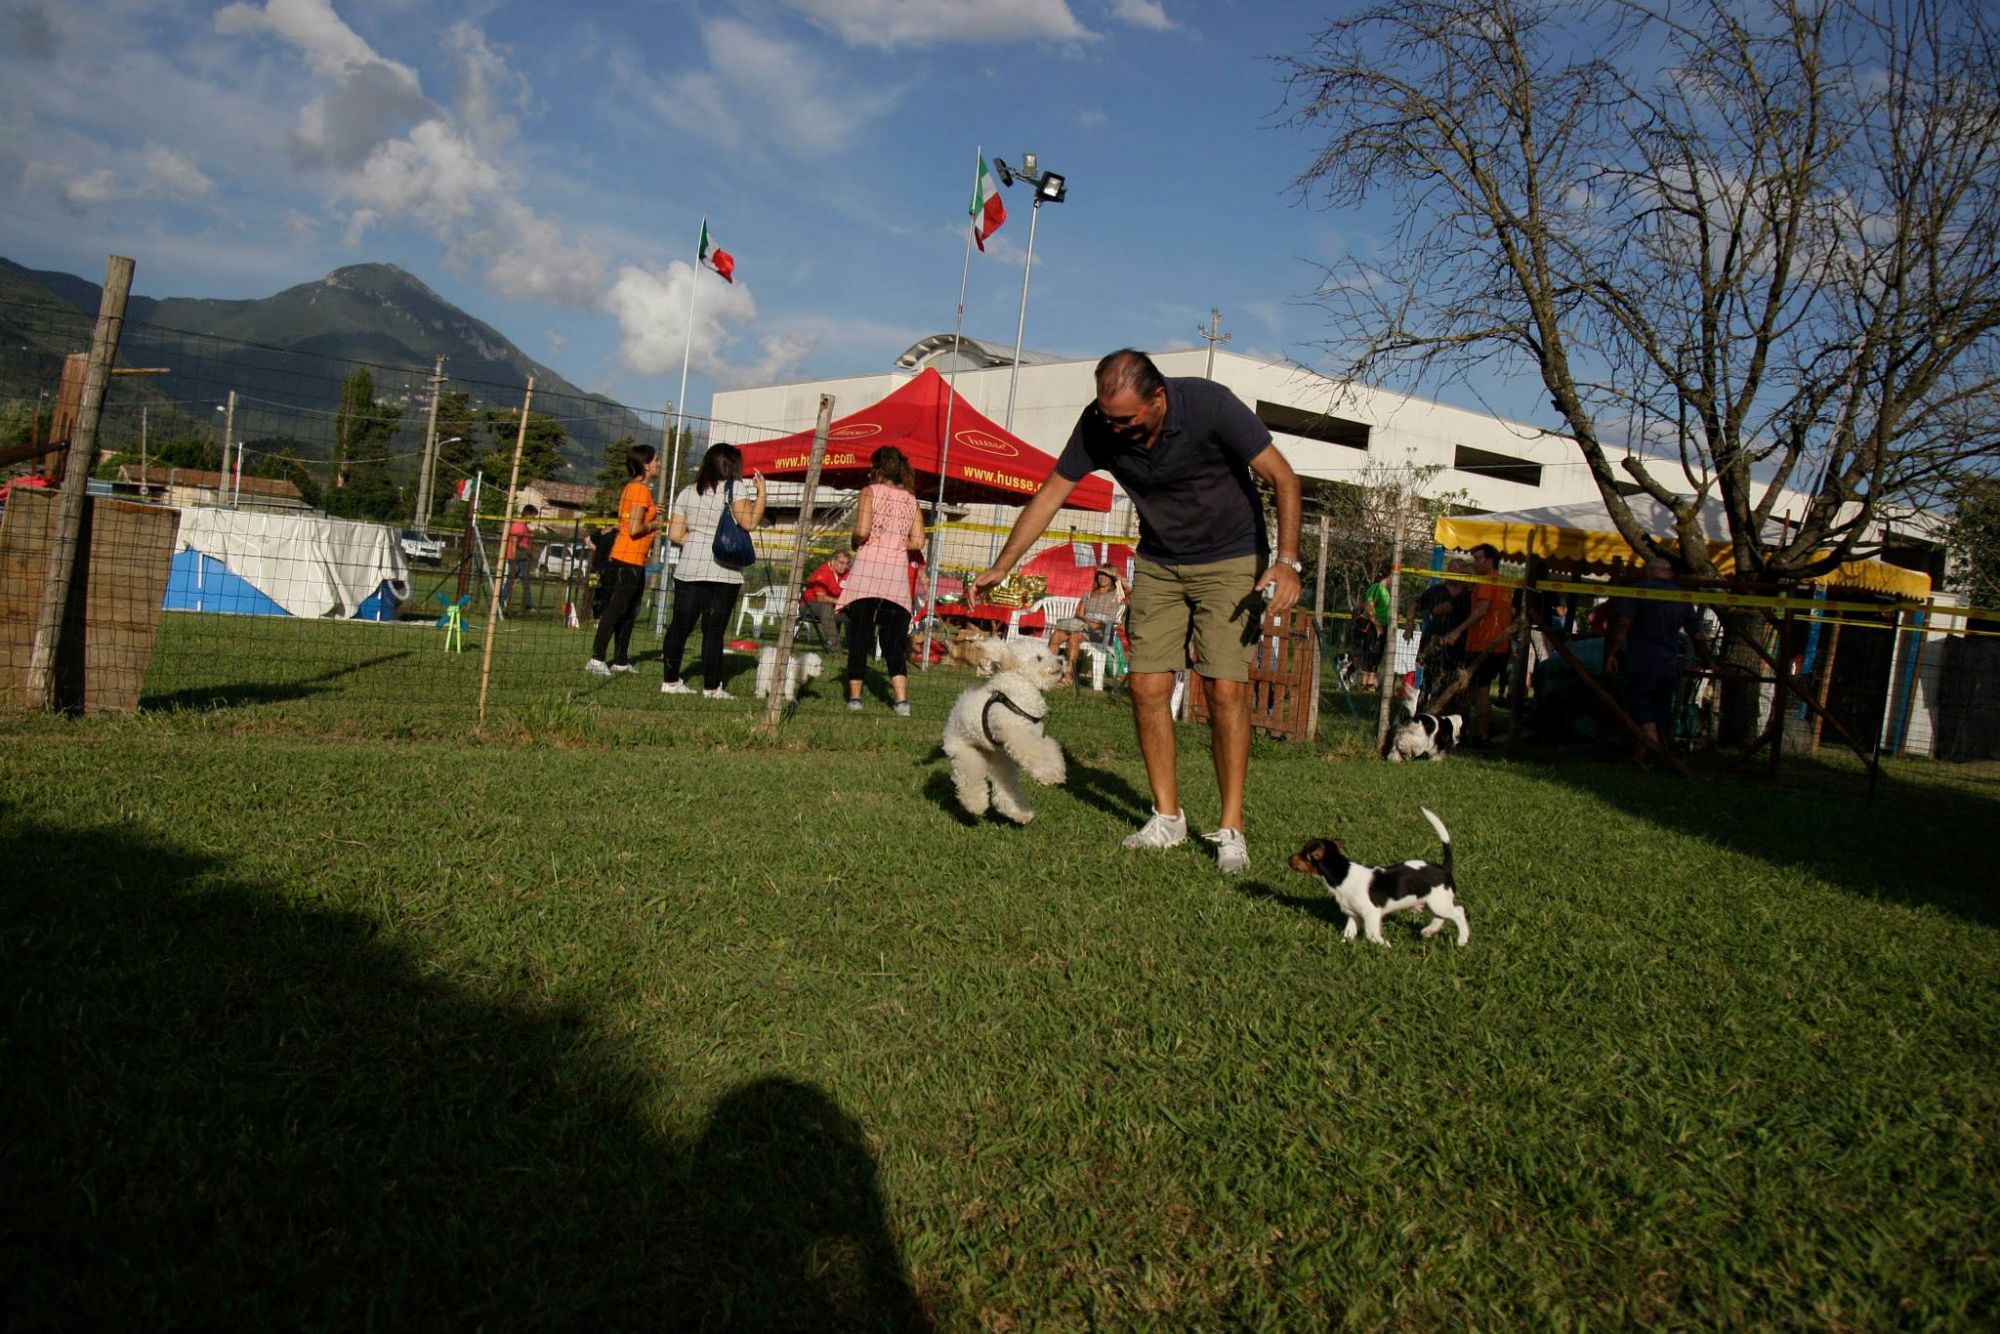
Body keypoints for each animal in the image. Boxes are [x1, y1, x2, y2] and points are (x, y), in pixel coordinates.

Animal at [944, 636, 1072, 824]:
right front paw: (1048, 774)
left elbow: (1049, 748)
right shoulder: (1016, 732)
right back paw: (976, 805)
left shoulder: (1035, 734)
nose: (1061, 660)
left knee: (1005, 788)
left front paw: (1056, 771)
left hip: (1000, 759)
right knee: (970, 778)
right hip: (966, 752)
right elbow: (1035, 752)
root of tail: (955, 710)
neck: (1021, 688)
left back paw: (1020, 813)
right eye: (1039, 658)